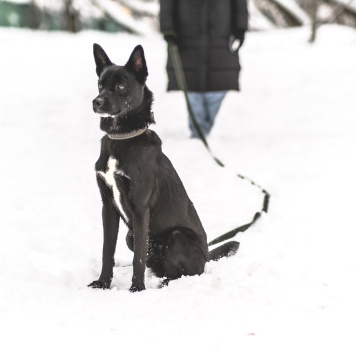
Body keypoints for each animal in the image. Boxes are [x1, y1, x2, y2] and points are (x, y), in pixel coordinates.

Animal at [88, 43, 239, 292]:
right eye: (100, 84)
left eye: (120, 86)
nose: (96, 102)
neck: (121, 138)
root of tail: (206, 256)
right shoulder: (107, 206)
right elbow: (106, 251)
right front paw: (103, 283)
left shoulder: (140, 208)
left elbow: (138, 258)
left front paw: (136, 289)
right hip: (131, 236)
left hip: (178, 237)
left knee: (184, 273)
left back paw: (166, 283)